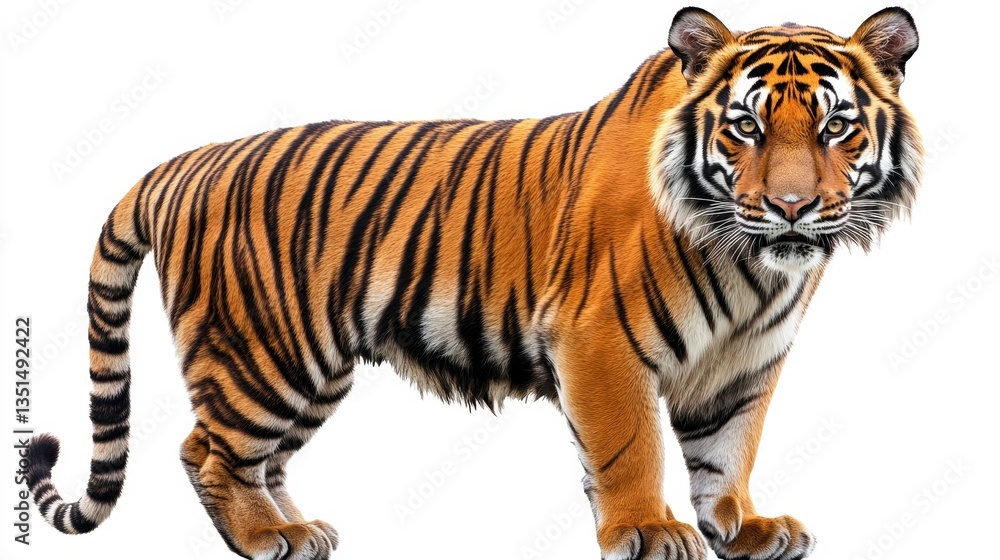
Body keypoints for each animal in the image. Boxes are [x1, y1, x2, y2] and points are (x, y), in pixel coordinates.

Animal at [26, 6, 921, 560]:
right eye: (746, 127)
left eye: (836, 126)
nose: (792, 207)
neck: (751, 264)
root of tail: (182, 162)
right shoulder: (599, 340)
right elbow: (630, 447)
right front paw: (648, 530)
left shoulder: (742, 364)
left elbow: (728, 451)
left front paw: (741, 529)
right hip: (262, 354)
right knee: (205, 449)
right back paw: (261, 538)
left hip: (309, 371)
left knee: (261, 461)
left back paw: (298, 530)